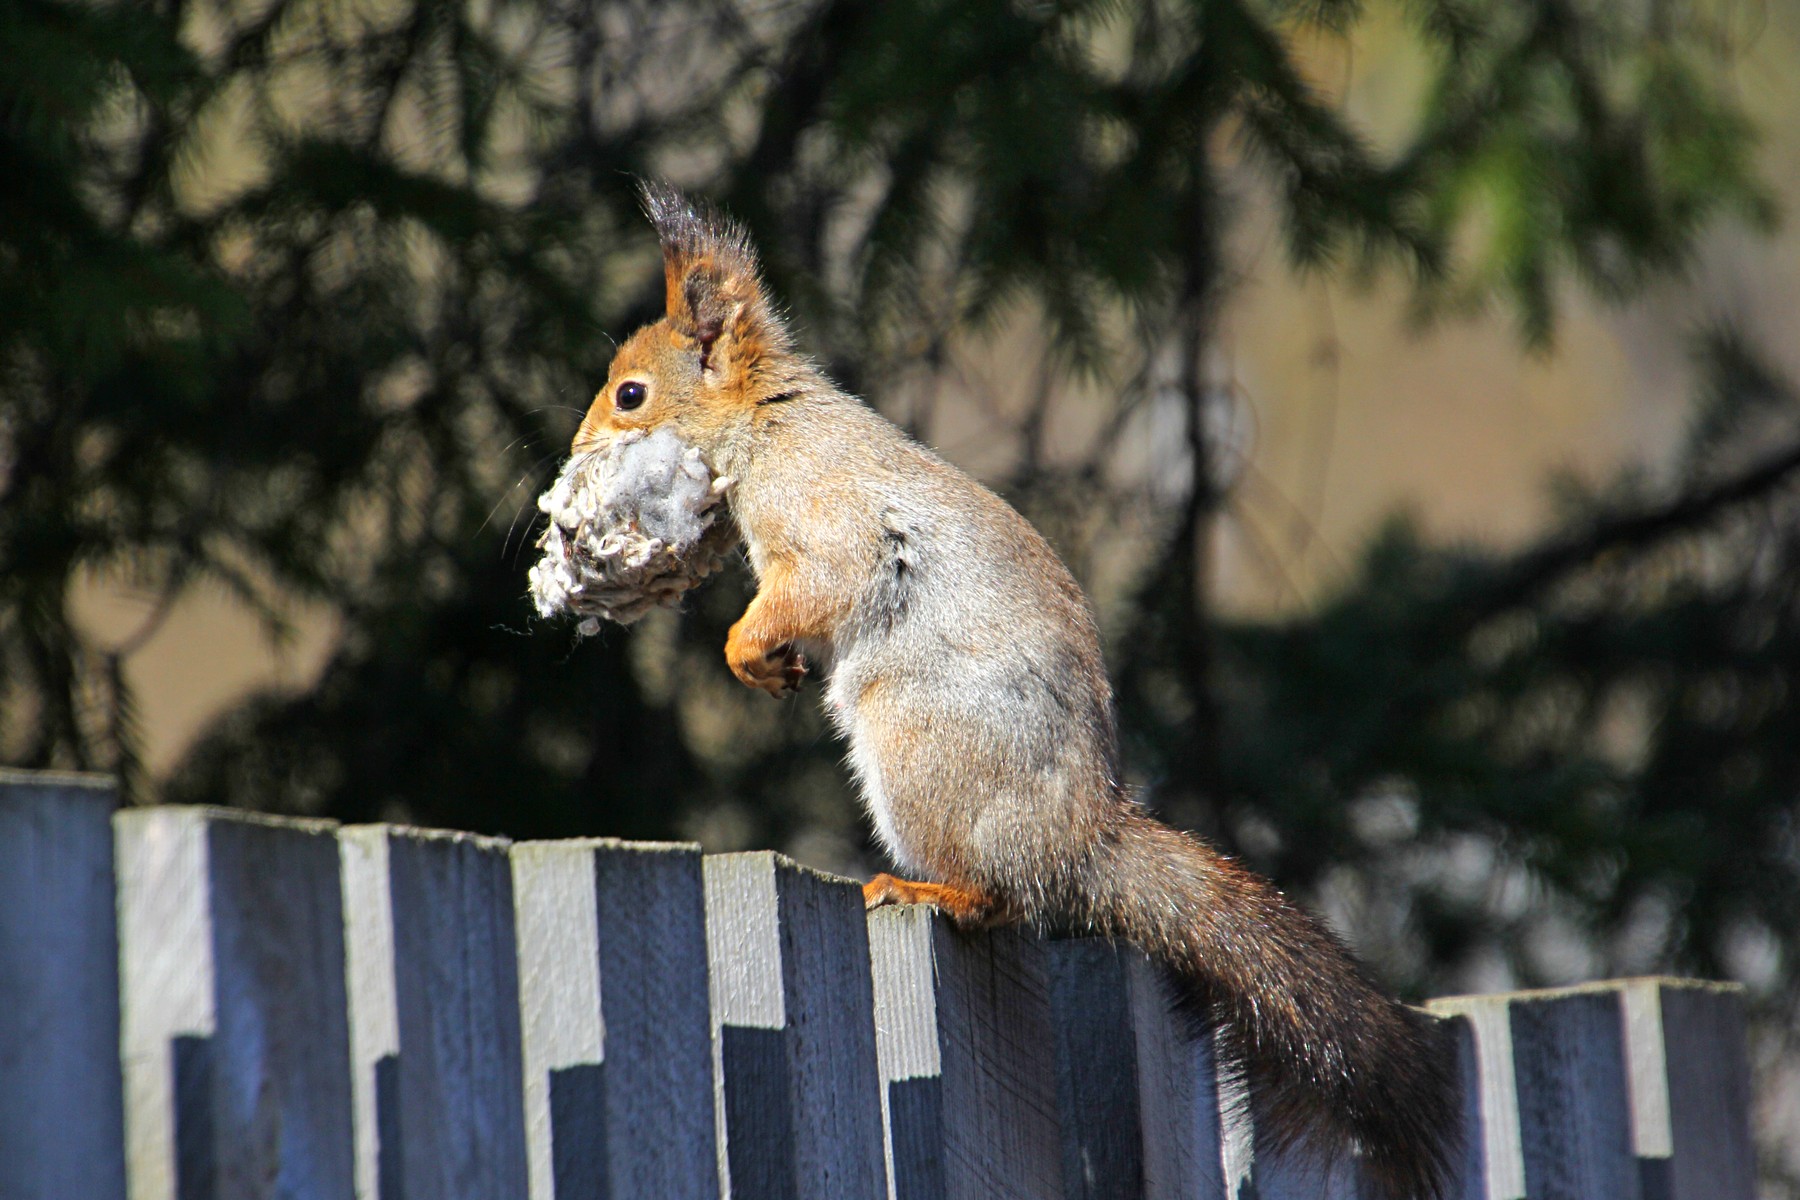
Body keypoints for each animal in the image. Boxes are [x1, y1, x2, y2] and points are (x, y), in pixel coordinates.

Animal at [576, 183, 1461, 1194]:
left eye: (632, 393)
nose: (579, 448)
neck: (772, 421)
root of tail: (1078, 839)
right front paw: (771, 666)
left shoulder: (827, 526)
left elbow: (811, 590)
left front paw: (744, 650)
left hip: (916, 752)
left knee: (1000, 897)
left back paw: (928, 891)